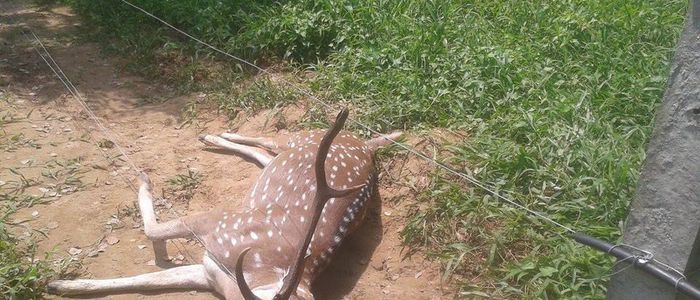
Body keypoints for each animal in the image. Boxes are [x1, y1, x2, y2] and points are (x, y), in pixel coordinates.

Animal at [47, 109, 400, 298]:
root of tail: (367, 144)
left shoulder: (208, 270)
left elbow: (145, 280)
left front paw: (60, 284)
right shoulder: (217, 221)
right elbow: (151, 235)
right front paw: (145, 179)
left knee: (262, 156)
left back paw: (213, 137)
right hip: (302, 138)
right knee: (267, 140)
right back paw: (213, 135)